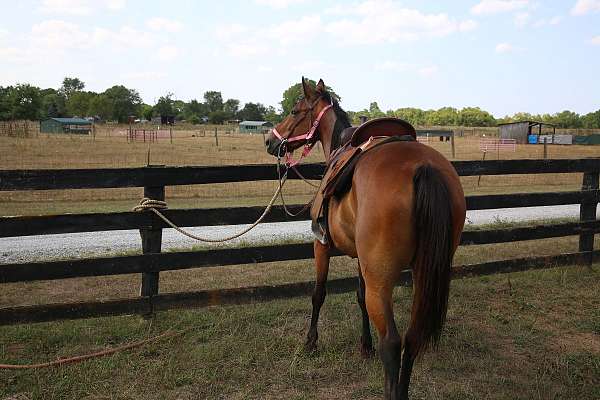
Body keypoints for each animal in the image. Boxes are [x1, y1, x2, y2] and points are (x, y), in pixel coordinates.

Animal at [264, 76, 466, 398]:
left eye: (295, 110)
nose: (270, 142)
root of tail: (424, 167)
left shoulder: (321, 247)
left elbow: (318, 294)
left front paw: (310, 342)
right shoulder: (362, 259)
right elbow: (358, 297)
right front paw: (365, 345)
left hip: (381, 280)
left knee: (393, 343)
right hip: (422, 272)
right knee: (412, 338)